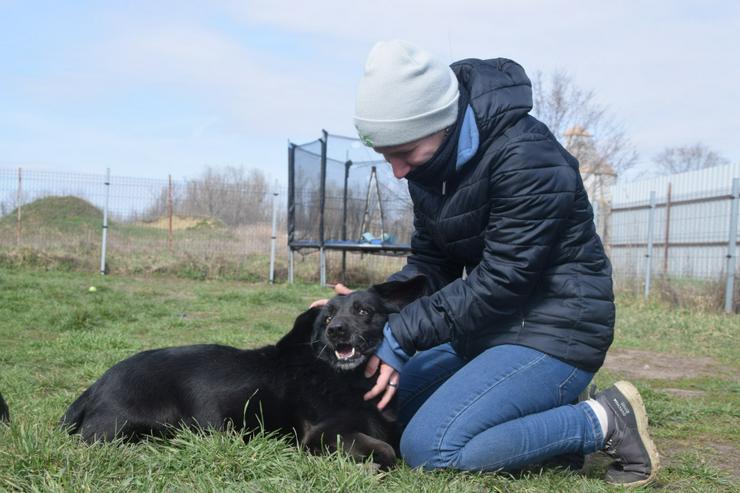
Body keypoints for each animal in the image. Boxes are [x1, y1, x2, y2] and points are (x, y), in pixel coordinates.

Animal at [62, 274, 428, 468]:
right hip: (143, 425)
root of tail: (97, 385)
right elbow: (387, 451)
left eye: (364, 311)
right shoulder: (320, 435)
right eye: (326, 318)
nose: (336, 331)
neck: (343, 378)